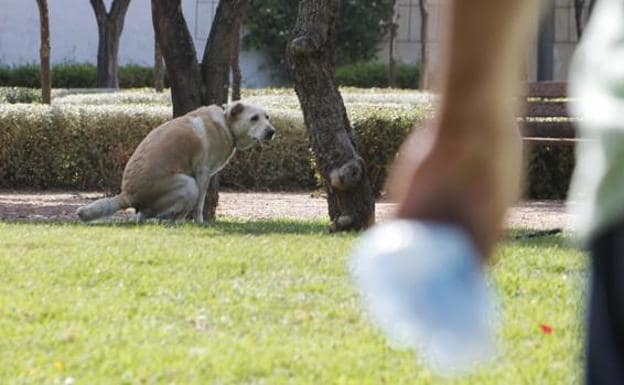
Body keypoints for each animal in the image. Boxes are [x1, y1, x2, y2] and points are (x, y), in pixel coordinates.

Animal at [76, 102, 276, 222]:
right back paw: (177, 222)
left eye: (267, 117)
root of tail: (127, 194)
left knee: (142, 217)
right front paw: (200, 223)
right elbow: (199, 205)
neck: (227, 124)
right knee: (166, 215)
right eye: (254, 118)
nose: (272, 132)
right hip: (189, 184)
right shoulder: (202, 174)